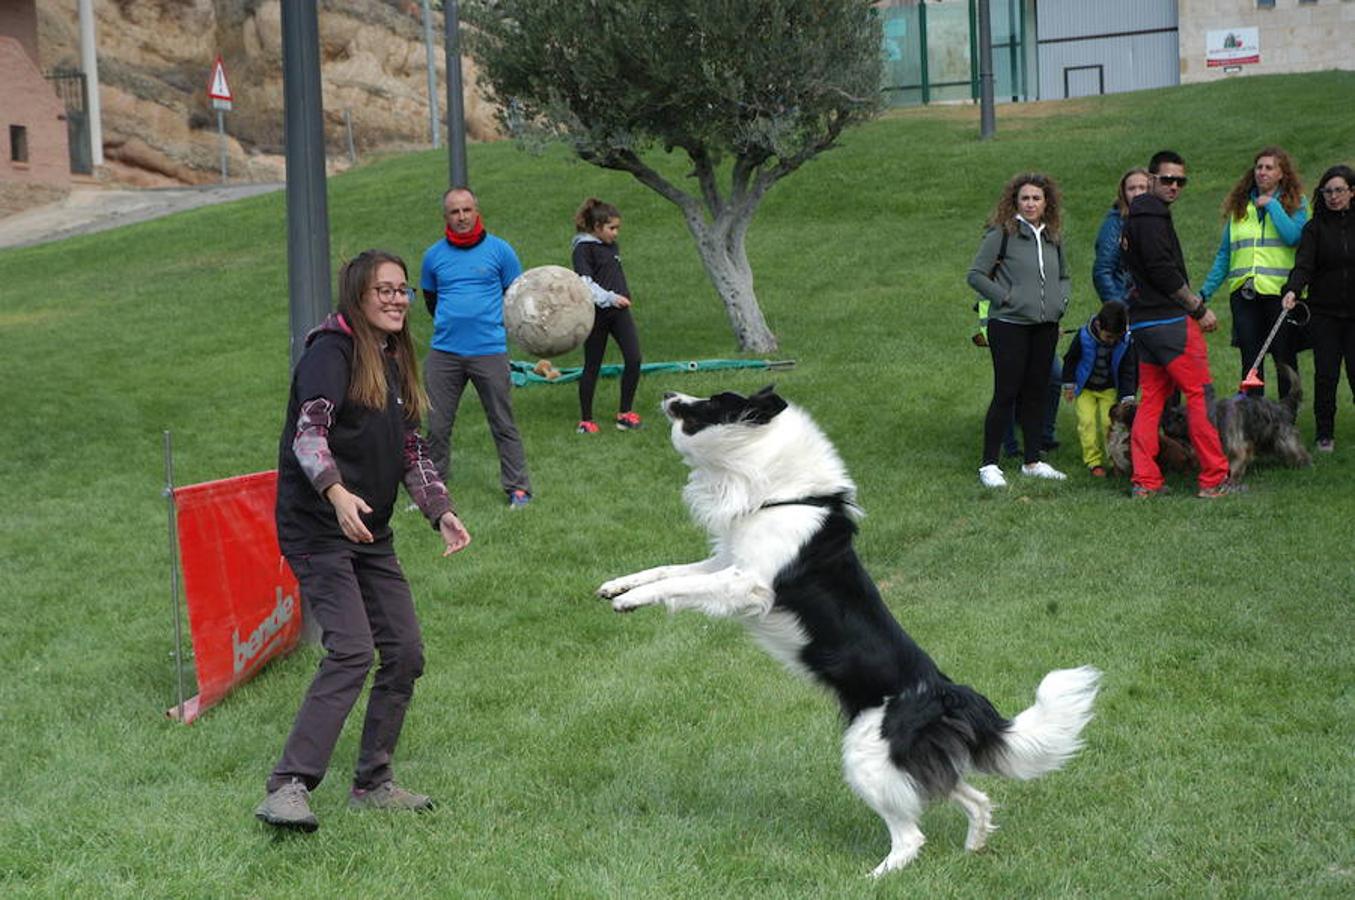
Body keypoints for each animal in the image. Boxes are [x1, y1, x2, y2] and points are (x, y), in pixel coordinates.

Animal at [596, 387, 1100, 878]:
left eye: (714, 402)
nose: (668, 393)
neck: (783, 492)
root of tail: (944, 693)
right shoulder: (726, 562)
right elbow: (669, 570)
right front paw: (618, 586)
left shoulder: (747, 584)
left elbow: (677, 584)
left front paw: (628, 601)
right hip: (907, 762)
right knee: (972, 796)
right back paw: (974, 846)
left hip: (867, 756)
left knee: (912, 836)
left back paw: (876, 877)